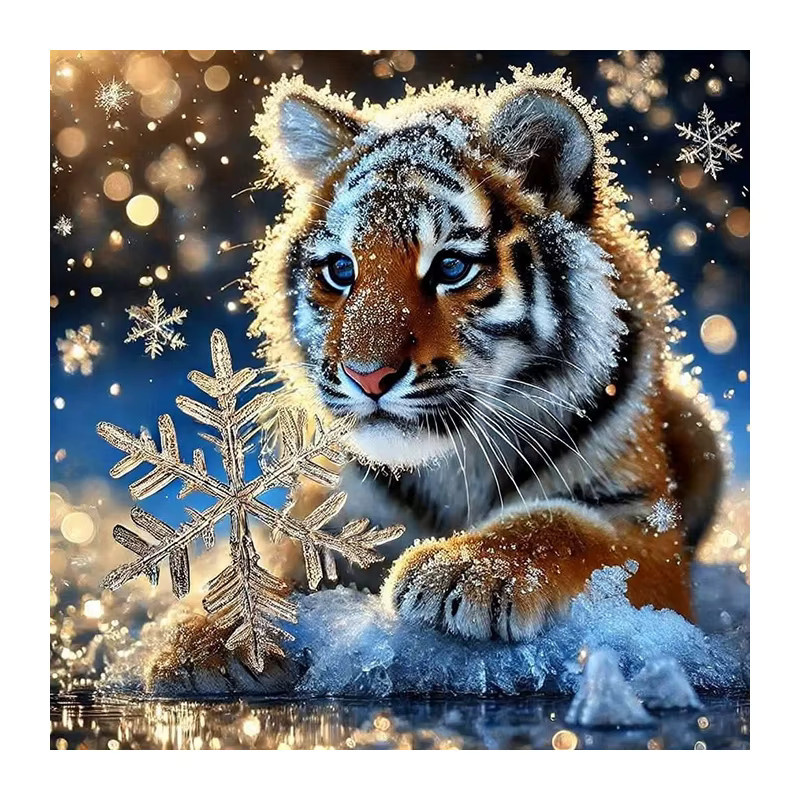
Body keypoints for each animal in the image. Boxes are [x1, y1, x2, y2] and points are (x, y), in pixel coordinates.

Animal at [147, 66, 727, 689]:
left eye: (451, 267)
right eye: (341, 269)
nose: (367, 375)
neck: (450, 461)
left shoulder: (647, 524)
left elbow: (563, 524)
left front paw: (465, 571)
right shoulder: (332, 511)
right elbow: (274, 555)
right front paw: (205, 641)